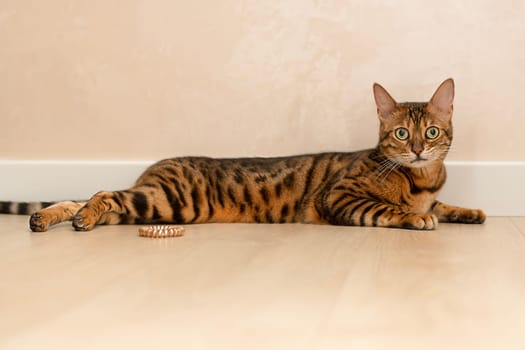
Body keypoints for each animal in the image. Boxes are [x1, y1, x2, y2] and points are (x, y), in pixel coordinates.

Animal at [0, 80, 484, 232]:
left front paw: (469, 210)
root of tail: (152, 170)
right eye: (401, 133)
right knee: (100, 192)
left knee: (85, 198)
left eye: (432, 131)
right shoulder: (340, 197)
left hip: (153, 205)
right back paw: (74, 216)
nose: (418, 148)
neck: (422, 179)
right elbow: (389, 210)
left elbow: (445, 203)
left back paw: (45, 218)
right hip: (171, 201)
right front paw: (417, 217)